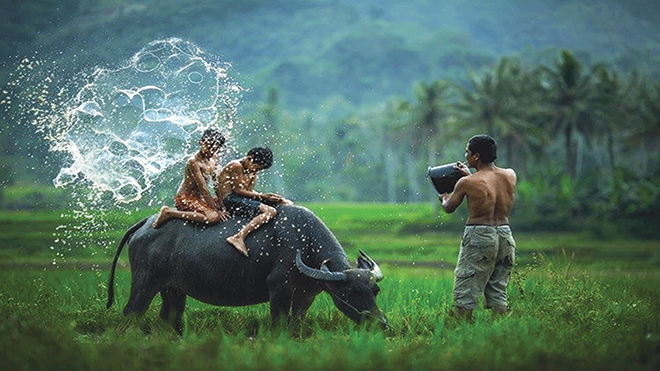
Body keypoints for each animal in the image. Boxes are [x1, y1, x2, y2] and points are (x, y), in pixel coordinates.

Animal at [106, 206, 386, 334]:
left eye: (375, 290)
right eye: (351, 292)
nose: (379, 323)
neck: (304, 243)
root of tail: (145, 222)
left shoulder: (306, 297)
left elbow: (296, 322)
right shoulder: (279, 289)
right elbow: (279, 322)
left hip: (173, 289)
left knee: (170, 315)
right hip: (144, 281)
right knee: (133, 311)